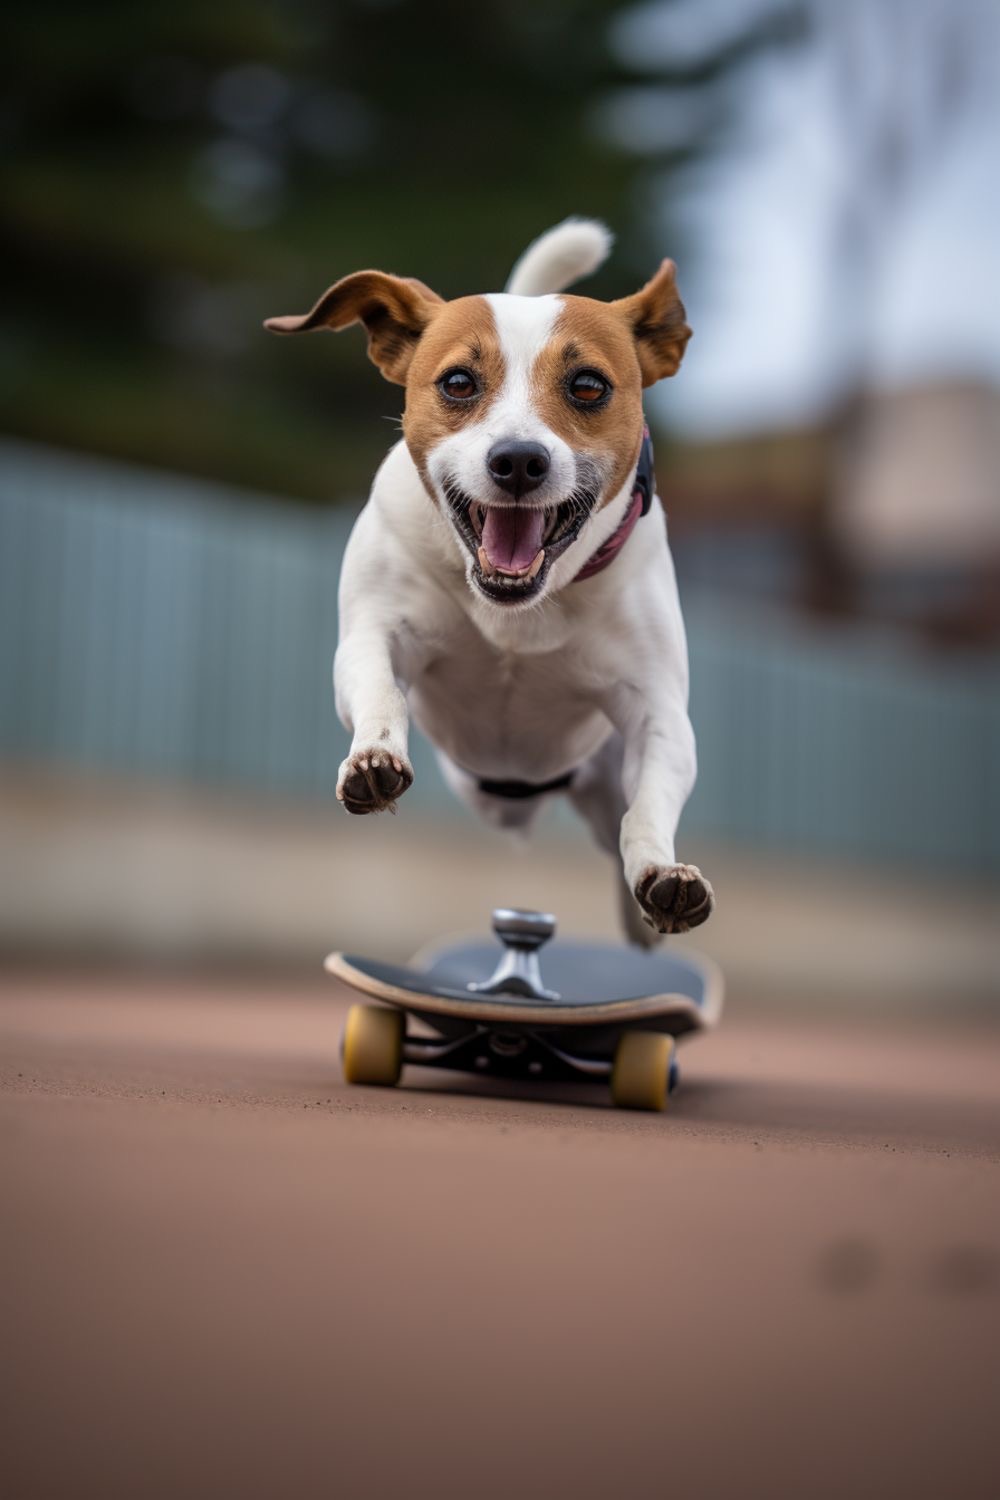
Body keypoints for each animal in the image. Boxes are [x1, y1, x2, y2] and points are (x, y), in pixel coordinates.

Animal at [268, 220, 710, 936]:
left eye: (588, 385)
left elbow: (648, 803)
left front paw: (659, 871)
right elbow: (380, 691)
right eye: (457, 382)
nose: (519, 460)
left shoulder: (657, 710)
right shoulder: (371, 636)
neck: (517, 610)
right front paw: (374, 757)